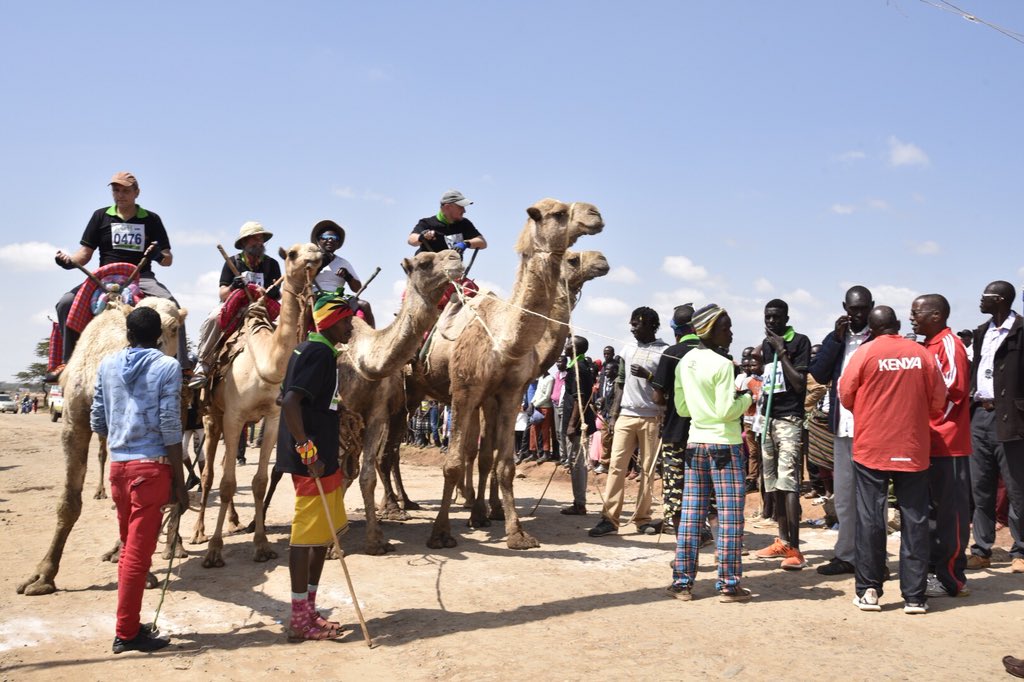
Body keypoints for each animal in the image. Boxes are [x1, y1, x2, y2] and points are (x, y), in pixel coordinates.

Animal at [190, 241, 321, 565]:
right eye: (292, 254)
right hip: (212, 418)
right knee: (210, 474)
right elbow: (225, 483)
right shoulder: (233, 416)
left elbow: (259, 482)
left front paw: (262, 545)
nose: (316, 256)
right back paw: (199, 532)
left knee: (227, 465)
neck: (265, 364)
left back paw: (235, 521)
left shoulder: (272, 418)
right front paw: (214, 550)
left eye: (315, 247)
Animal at [409, 196, 598, 548]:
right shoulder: (467, 392)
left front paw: (512, 528)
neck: (504, 340)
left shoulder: (506, 394)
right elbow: (458, 460)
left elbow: (498, 461)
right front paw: (443, 532)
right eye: (558, 213)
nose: (595, 214)